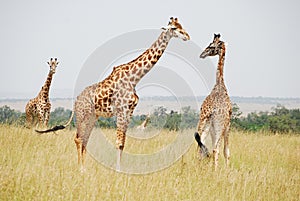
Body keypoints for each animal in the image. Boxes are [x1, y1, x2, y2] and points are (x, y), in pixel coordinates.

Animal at [35, 17, 190, 171]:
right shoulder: (122, 110)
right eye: (174, 28)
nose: (187, 36)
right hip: (82, 115)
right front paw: (118, 170)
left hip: (93, 117)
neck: (134, 78)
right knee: (78, 138)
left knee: (85, 139)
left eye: (181, 25)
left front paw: (120, 168)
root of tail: (76, 101)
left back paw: (84, 167)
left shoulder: (129, 112)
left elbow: (123, 142)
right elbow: (119, 143)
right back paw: (81, 168)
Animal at [195, 34, 232, 170]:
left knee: (200, 146)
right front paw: (227, 169)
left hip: (203, 123)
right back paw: (215, 170)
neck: (219, 84)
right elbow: (226, 151)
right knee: (216, 149)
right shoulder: (228, 125)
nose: (202, 54)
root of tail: (212, 111)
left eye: (211, 46)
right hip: (218, 126)